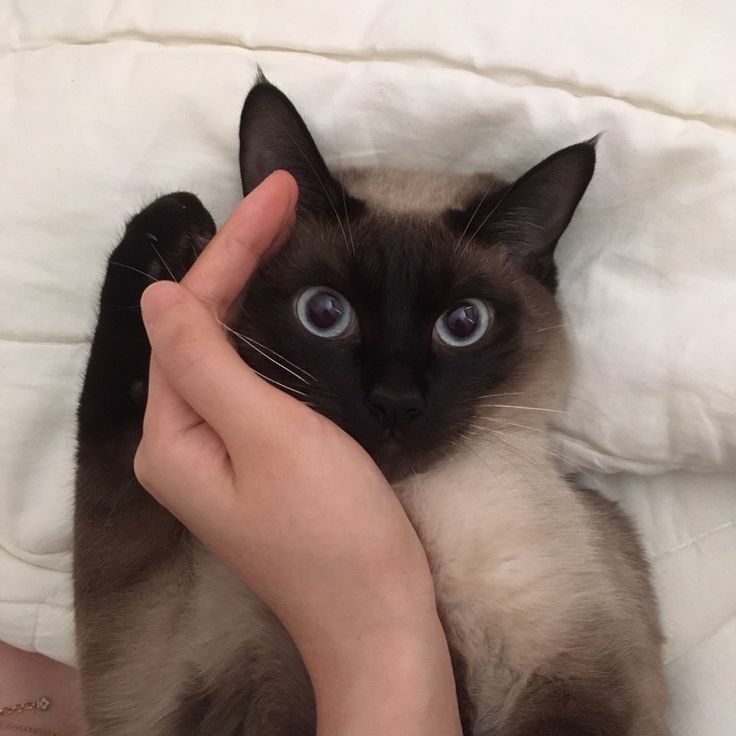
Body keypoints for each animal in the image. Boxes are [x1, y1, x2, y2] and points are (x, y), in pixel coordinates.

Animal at [73, 75, 668, 736]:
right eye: (325, 313)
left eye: (464, 324)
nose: (395, 402)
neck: (413, 510)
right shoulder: (147, 675)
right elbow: (112, 433)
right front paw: (176, 230)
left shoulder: (574, 677)